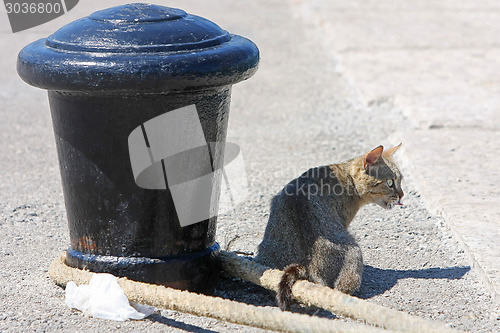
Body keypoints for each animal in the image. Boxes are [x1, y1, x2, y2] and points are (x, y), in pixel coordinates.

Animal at [256, 144, 404, 310]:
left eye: (400, 181)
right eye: (390, 182)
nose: (402, 194)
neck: (346, 178)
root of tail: (307, 269)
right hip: (355, 251)